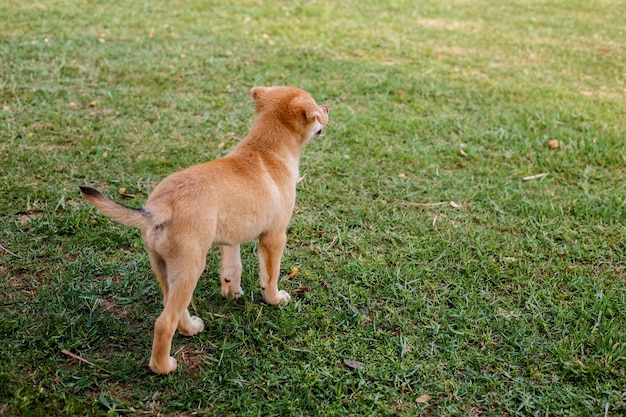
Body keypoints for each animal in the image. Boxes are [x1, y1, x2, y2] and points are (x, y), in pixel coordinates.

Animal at [80, 86, 330, 372]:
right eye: (316, 110)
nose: (327, 108)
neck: (267, 150)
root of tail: (160, 207)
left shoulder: (231, 240)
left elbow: (232, 269)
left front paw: (232, 293)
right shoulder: (274, 237)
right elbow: (270, 275)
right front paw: (275, 299)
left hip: (164, 267)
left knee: (171, 307)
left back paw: (190, 328)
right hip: (190, 268)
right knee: (164, 322)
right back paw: (164, 366)